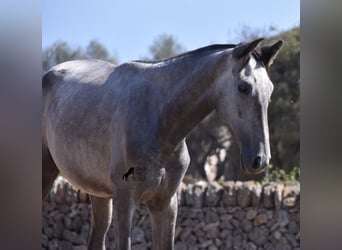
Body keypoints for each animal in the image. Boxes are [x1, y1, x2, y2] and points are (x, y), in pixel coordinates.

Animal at [42, 38, 284, 249]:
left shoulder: (165, 204)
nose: (260, 159)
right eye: (243, 87)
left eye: (270, 90)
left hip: (99, 194)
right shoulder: (125, 202)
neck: (158, 120)